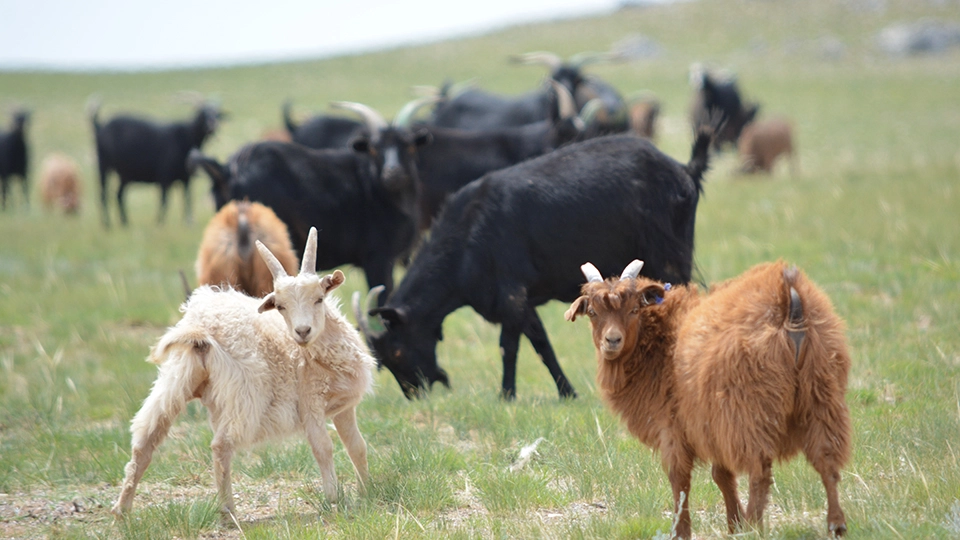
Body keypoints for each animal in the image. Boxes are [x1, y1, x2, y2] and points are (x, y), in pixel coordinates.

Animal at [90, 100, 224, 227]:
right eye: (202, 113)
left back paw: (125, 223)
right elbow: (164, 201)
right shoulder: (164, 176)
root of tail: (100, 126)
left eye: (216, 114)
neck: (186, 136)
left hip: (125, 175)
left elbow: (187, 200)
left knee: (118, 195)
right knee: (103, 194)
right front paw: (160, 223)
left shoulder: (186, 179)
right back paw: (107, 224)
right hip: (103, 165)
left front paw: (188, 223)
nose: (212, 125)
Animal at [112, 227, 376, 518]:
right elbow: (323, 447)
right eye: (280, 306)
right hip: (245, 391)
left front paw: (367, 492)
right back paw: (227, 510)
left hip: (176, 378)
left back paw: (122, 509)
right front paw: (334, 499)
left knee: (145, 440)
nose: (302, 331)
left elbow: (357, 446)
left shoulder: (342, 407)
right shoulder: (311, 403)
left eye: (319, 298)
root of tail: (202, 329)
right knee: (221, 445)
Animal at [566, 259, 851, 538]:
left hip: (751, 407)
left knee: (760, 469)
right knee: (827, 459)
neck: (662, 340)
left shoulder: (675, 424)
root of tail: (786, 292)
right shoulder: (709, 422)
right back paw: (836, 524)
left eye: (635, 309)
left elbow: (679, 478)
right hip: (821, 391)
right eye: (593, 312)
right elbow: (721, 474)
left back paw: (754, 526)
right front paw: (733, 524)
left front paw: (682, 531)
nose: (612, 341)